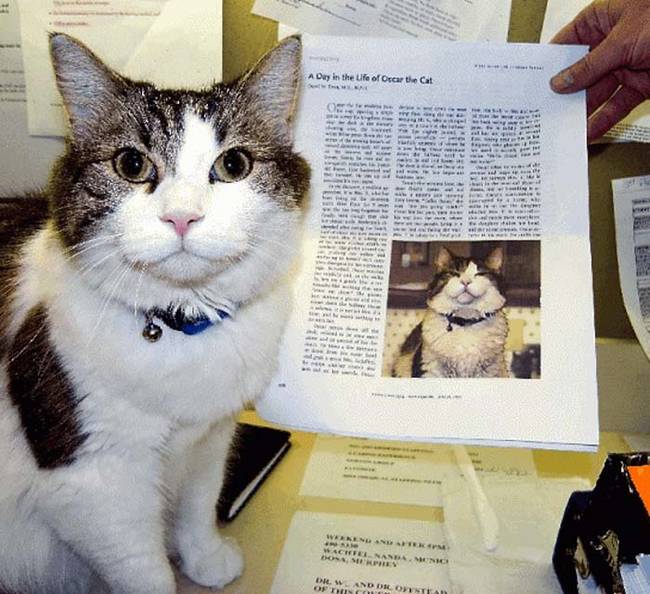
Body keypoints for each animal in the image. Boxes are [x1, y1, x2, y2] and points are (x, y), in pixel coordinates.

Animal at [0, 33, 308, 592]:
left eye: (234, 166)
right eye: (131, 165)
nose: (182, 216)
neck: (181, 328)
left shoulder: (211, 435)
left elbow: (198, 504)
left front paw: (205, 558)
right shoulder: (93, 483)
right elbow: (144, 570)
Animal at [392, 246, 508, 376]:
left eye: (479, 274)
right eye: (454, 274)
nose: (466, 282)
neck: (465, 324)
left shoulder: (490, 371)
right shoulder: (428, 369)